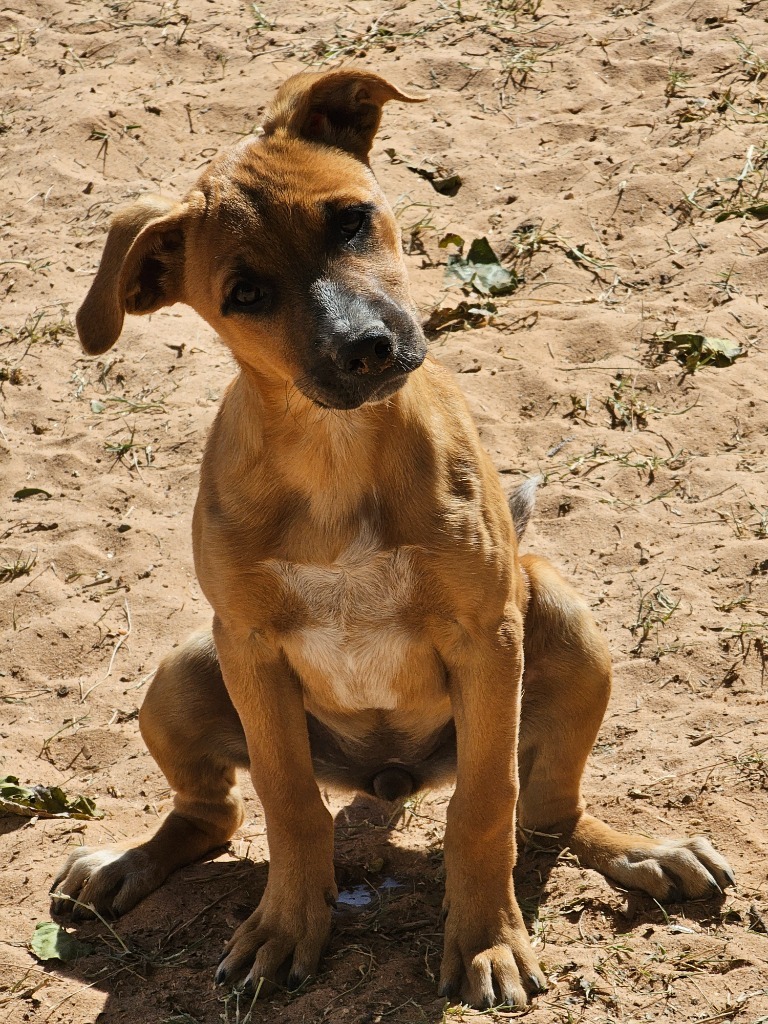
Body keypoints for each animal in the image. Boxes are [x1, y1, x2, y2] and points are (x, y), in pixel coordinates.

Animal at [51, 70, 737, 1007]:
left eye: (348, 219)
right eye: (244, 294)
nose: (368, 347)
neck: (337, 452)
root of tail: (389, 776)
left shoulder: (488, 637)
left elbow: (485, 805)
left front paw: (486, 940)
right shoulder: (250, 647)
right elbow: (288, 803)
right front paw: (285, 927)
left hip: (562, 621)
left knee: (550, 816)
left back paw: (646, 852)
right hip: (183, 671)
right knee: (215, 814)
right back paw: (124, 863)